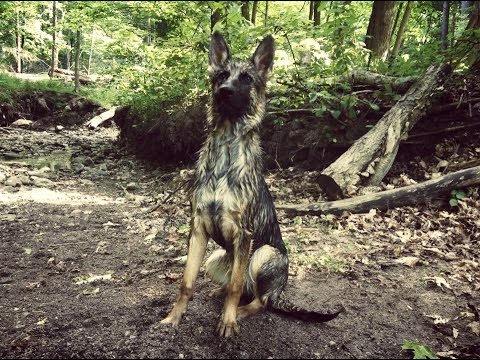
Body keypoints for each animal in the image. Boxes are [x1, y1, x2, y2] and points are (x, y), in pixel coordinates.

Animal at [163, 31, 344, 338]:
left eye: (247, 78)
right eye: (222, 75)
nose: (223, 91)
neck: (225, 151)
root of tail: (279, 293)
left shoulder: (243, 234)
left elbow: (235, 287)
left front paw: (228, 322)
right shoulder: (198, 229)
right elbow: (186, 282)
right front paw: (174, 317)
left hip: (264, 253)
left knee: (258, 299)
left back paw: (240, 311)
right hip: (215, 258)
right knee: (240, 288)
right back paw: (217, 294)